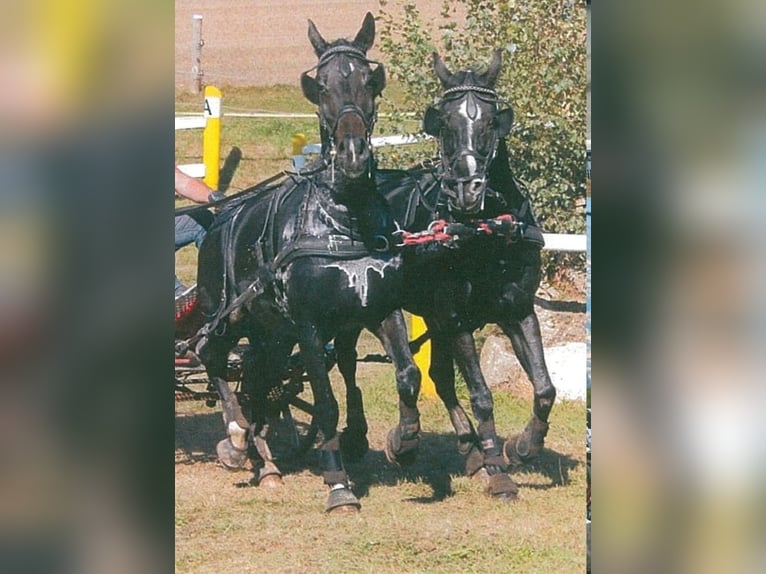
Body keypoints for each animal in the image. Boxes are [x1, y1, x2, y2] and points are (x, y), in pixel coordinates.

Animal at [192, 13, 420, 516]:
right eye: (322, 87)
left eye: (369, 81)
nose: (353, 154)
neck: (343, 217)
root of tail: (219, 219)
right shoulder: (311, 326)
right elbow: (327, 400)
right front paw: (338, 484)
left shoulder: (380, 308)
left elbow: (408, 374)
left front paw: (404, 440)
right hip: (226, 315)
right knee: (214, 359)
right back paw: (236, 438)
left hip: (271, 332)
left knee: (259, 377)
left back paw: (266, 463)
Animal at [336, 49, 560, 500]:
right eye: (444, 123)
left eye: (491, 121)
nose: (466, 191)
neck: (486, 231)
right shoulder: (457, 320)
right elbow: (482, 395)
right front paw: (499, 471)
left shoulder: (517, 310)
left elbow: (545, 387)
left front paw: (522, 445)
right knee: (353, 363)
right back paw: (367, 437)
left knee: (437, 376)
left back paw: (469, 451)